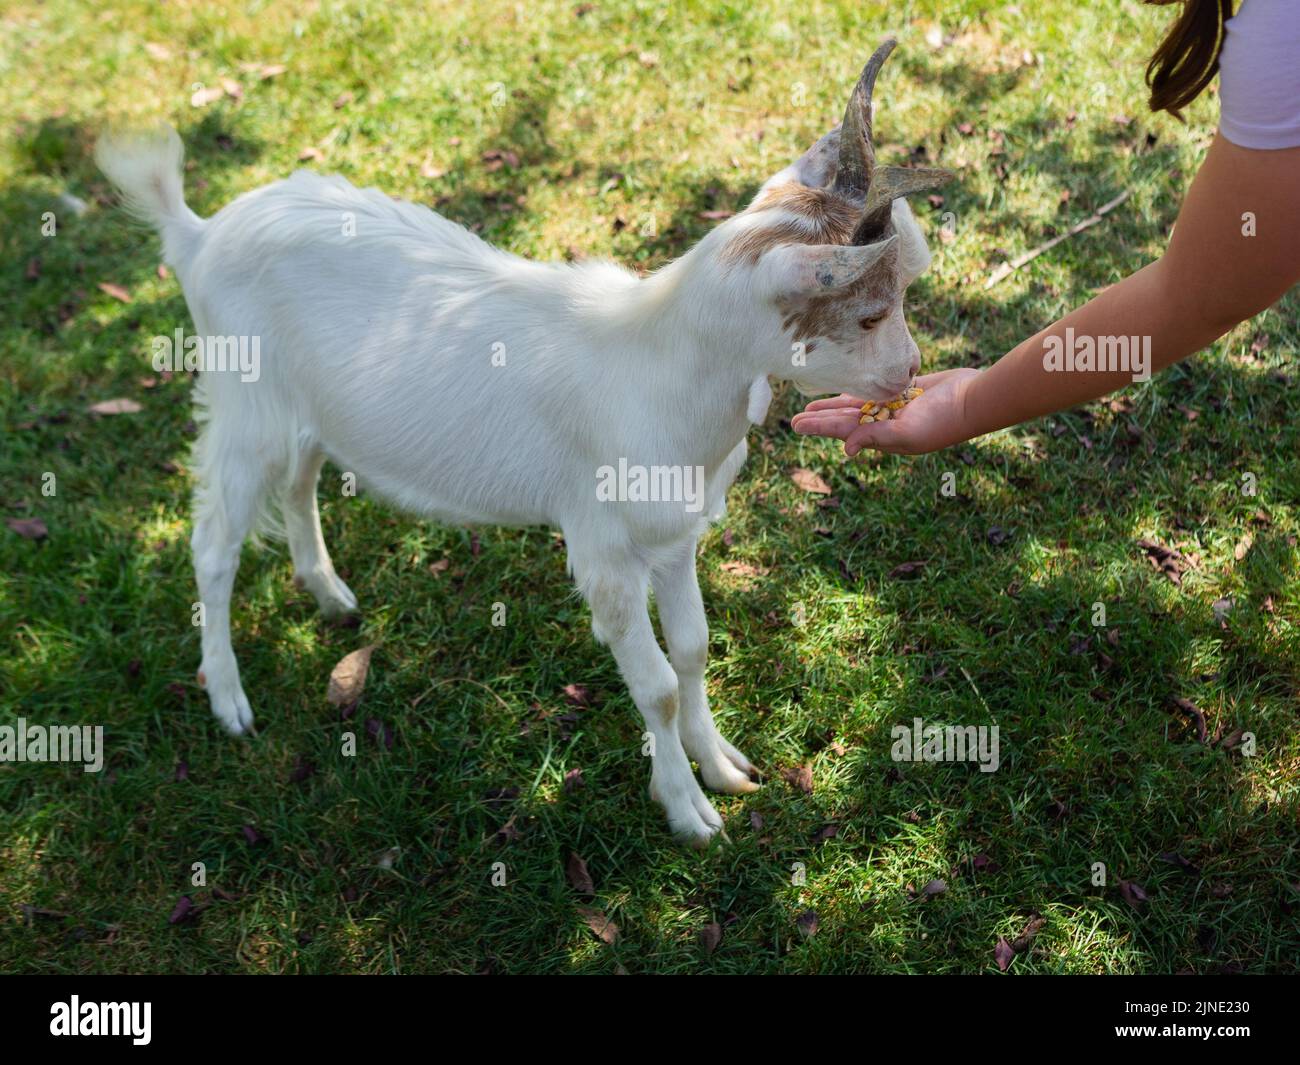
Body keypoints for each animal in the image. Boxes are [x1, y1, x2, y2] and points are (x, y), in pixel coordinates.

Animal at [98, 37, 946, 847]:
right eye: (870, 313)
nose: (910, 370)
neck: (655, 363)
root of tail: (199, 235)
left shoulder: (674, 536)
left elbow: (695, 649)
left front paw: (725, 766)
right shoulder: (605, 552)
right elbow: (658, 686)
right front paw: (687, 812)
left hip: (306, 409)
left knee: (301, 480)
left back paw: (330, 596)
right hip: (246, 406)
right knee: (214, 543)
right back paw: (230, 699)